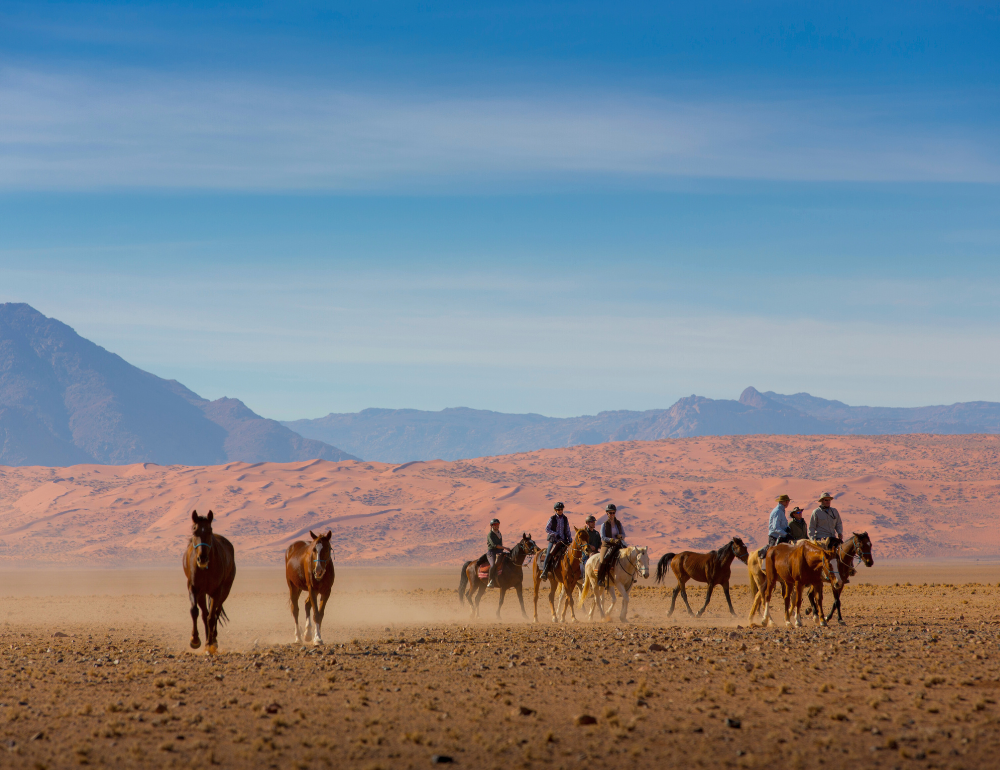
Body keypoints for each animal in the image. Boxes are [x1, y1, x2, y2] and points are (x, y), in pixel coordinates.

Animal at [182, 510, 236, 656]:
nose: (202, 559)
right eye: (194, 530)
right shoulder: (193, 588)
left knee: (215, 613)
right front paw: (195, 640)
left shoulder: (218, 591)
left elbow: (212, 617)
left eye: (210, 530)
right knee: (204, 614)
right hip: (202, 594)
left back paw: (213, 640)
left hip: (225, 591)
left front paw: (211, 644)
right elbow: (194, 611)